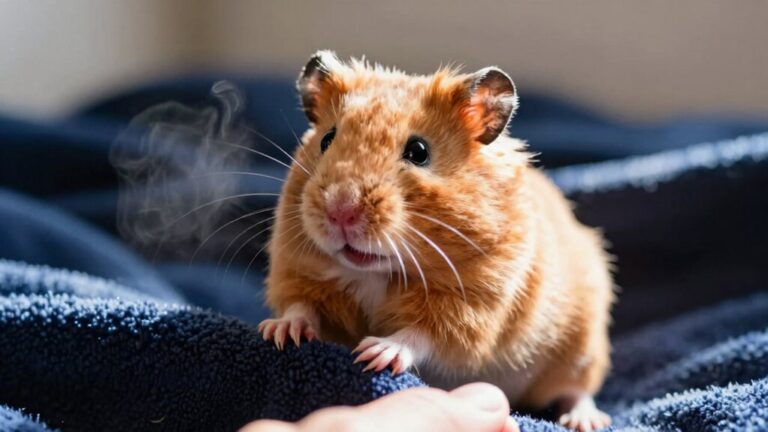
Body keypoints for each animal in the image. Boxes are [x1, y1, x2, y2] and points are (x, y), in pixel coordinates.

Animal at [258, 51, 614, 432]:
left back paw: (584, 420)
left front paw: (375, 354)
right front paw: (278, 332)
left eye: (418, 151)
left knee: (576, 389)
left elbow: (422, 334)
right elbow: (301, 305)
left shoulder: (473, 306)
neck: (376, 272)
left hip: (580, 345)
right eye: (327, 139)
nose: (341, 210)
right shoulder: (299, 273)